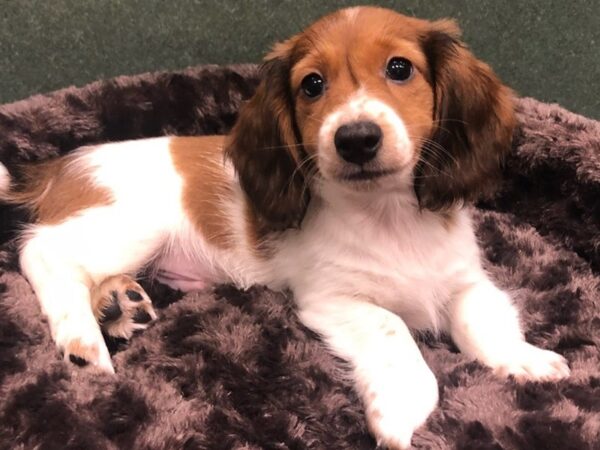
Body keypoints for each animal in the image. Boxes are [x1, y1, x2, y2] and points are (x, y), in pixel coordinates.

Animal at [0, 6, 568, 446]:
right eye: (312, 84)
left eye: (400, 68)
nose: (356, 139)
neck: (388, 217)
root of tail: (59, 166)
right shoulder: (332, 299)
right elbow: (394, 327)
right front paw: (402, 410)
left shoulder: (466, 280)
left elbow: (485, 319)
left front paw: (524, 360)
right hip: (130, 227)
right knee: (42, 252)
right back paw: (83, 339)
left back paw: (119, 305)